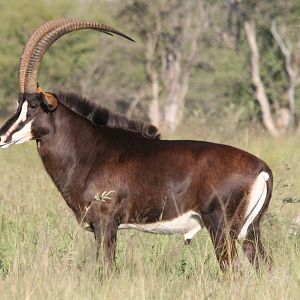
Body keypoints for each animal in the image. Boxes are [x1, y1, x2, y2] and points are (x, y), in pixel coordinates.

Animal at [0, 18, 272, 272]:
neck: (88, 151)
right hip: (250, 232)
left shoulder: (106, 223)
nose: (2, 137)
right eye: (18, 103)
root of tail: (262, 169)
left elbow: (106, 268)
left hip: (222, 229)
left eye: (34, 106)